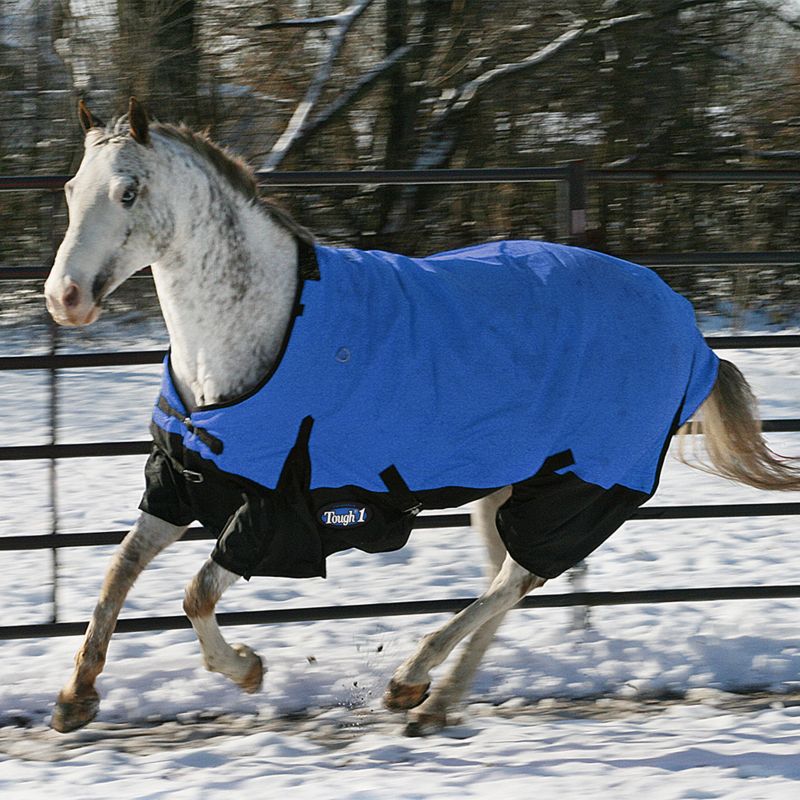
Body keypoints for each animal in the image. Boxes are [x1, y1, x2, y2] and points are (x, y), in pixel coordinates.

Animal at [43, 100, 800, 736]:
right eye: (72, 190)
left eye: (129, 192)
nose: (64, 297)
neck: (260, 334)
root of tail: (691, 335)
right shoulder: (186, 483)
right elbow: (117, 573)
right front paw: (76, 697)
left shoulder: (275, 515)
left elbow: (196, 594)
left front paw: (250, 669)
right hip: (509, 485)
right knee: (508, 585)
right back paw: (434, 705)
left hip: (581, 490)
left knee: (514, 580)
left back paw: (410, 680)